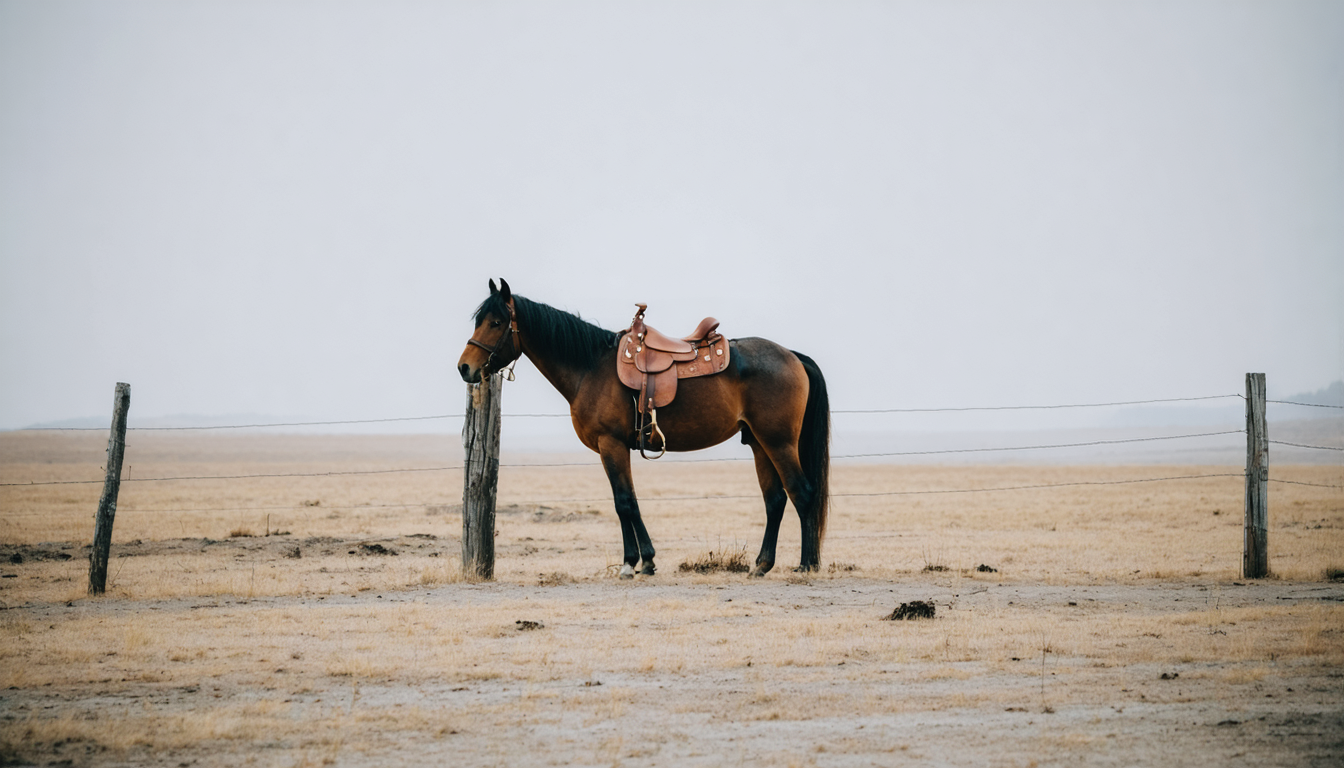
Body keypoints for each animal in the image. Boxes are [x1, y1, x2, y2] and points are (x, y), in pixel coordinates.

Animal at [456, 279, 830, 578]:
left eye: (496, 322)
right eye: (478, 320)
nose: (464, 368)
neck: (591, 368)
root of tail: (792, 356)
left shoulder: (611, 444)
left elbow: (623, 501)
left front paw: (631, 563)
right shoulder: (616, 447)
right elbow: (630, 500)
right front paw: (645, 560)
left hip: (779, 442)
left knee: (802, 492)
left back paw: (807, 564)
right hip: (759, 443)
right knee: (775, 500)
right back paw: (762, 564)